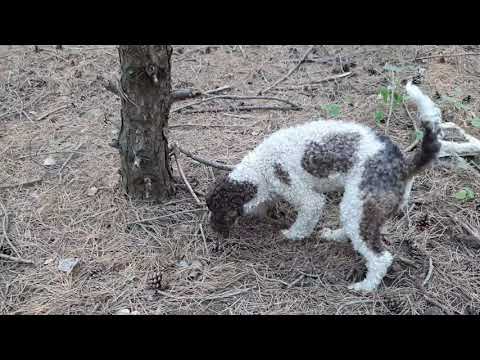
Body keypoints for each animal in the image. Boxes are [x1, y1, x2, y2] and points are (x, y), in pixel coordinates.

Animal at [206, 83, 442, 294]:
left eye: (220, 211)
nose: (214, 230)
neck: (262, 168)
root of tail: (403, 165)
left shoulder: (304, 195)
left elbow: (304, 220)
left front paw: (292, 234)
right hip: (358, 207)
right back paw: (334, 235)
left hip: (361, 205)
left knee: (379, 257)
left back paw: (365, 287)